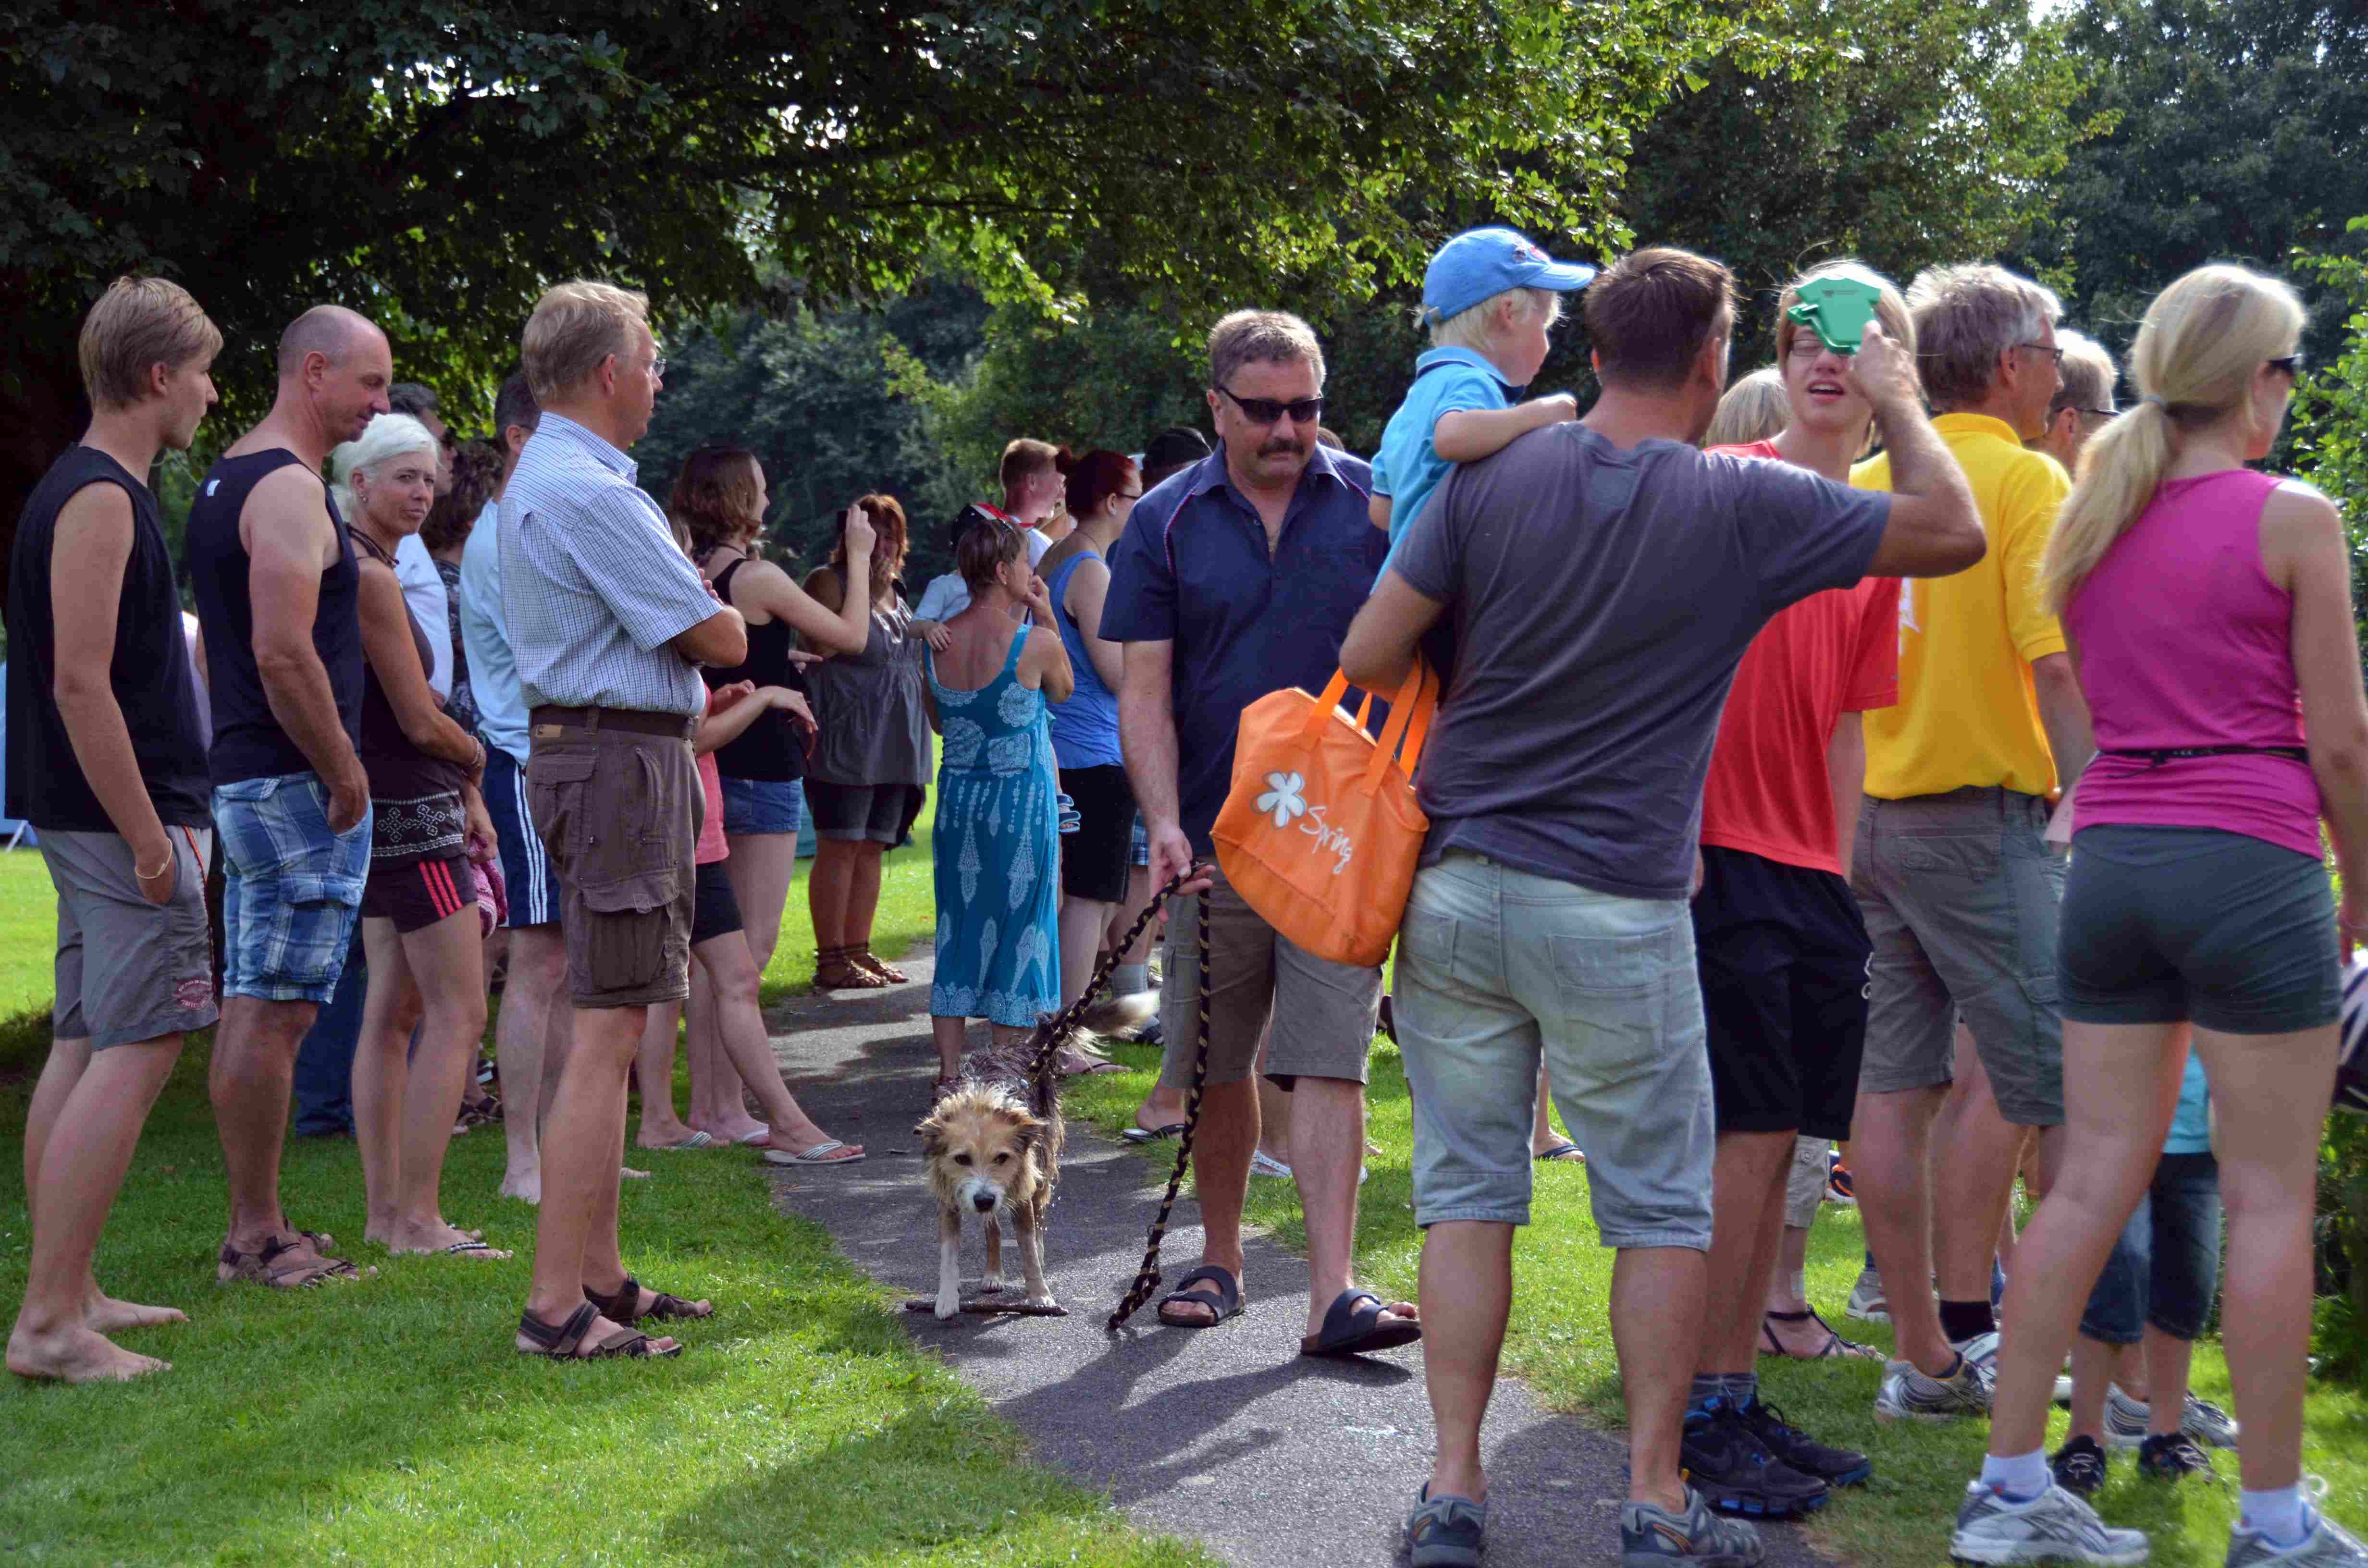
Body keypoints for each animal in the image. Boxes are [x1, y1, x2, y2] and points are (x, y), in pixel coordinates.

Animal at [914, 1080, 1065, 1317]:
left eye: (1002, 1158)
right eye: (962, 1159)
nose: (984, 1201)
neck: (980, 1100)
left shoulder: (1023, 1192)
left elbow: (1028, 1248)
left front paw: (1040, 1295)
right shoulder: (947, 1198)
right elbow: (948, 1251)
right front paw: (947, 1297)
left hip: (1042, 1170)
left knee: (1039, 1219)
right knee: (994, 1230)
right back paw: (993, 1274)